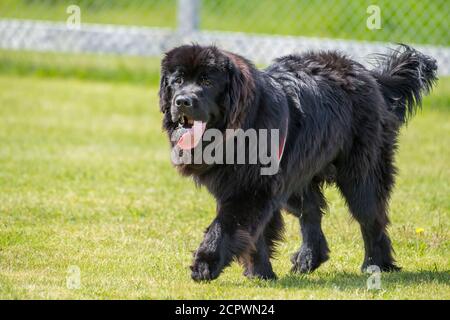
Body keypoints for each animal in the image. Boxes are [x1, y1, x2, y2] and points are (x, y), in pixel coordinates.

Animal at [158, 43, 436, 280]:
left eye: (206, 81)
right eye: (178, 81)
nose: (182, 101)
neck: (238, 129)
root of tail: (368, 75)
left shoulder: (251, 190)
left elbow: (225, 226)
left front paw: (205, 263)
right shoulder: (245, 187)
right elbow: (254, 233)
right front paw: (260, 273)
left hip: (361, 174)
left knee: (371, 217)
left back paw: (375, 264)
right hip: (298, 175)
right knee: (311, 212)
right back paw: (309, 259)